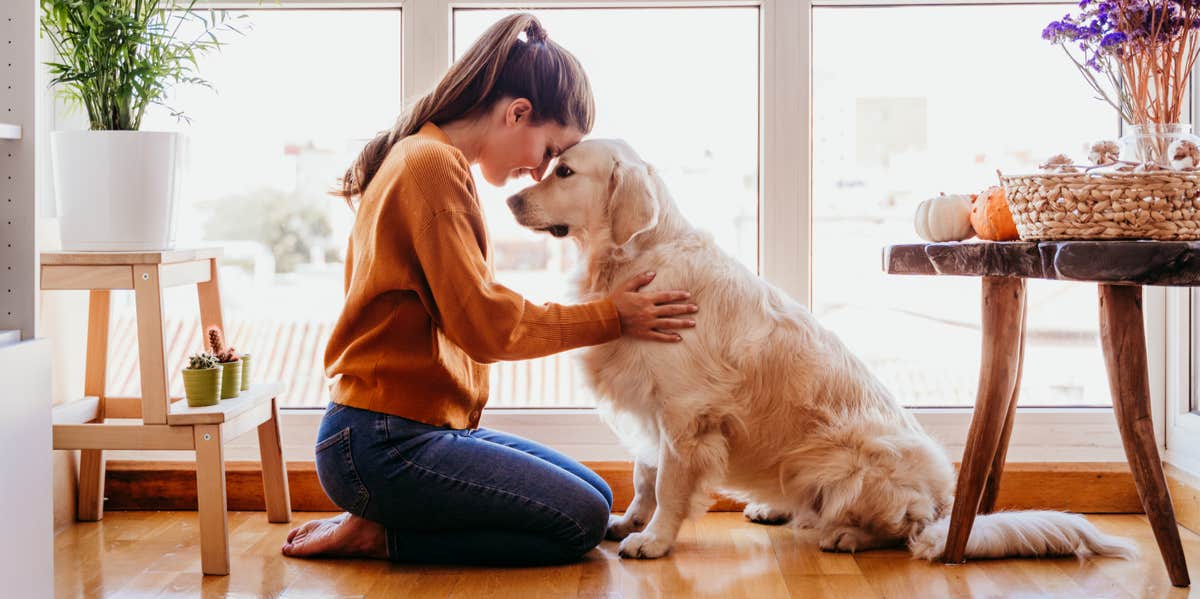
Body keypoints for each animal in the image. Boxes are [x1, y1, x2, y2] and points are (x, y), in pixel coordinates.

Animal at [504, 139, 1132, 561]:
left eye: (564, 171)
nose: (509, 200)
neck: (634, 259)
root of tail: (945, 505)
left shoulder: (684, 413)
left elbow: (670, 484)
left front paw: (653, 539)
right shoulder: (649, 405)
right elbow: (643, 474)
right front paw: (628, 521)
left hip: (849, 458)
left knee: (900, 530)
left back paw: (846, 534)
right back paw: (776, 507)